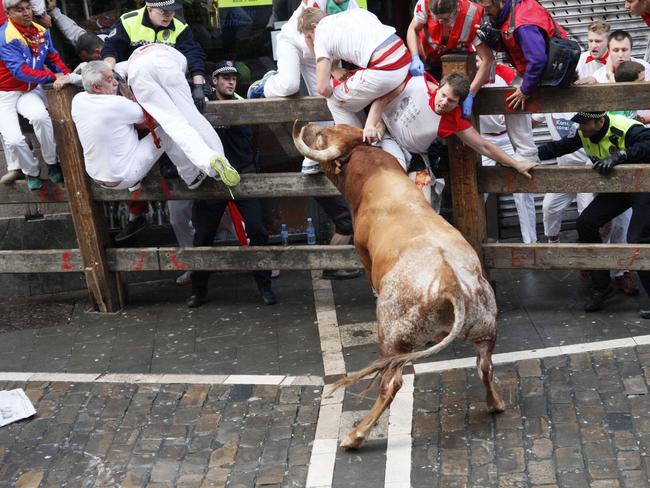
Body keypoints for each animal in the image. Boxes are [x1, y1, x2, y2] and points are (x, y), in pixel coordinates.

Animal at [292, 122, 504, 450]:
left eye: (323, 136)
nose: (308, 125)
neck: (376, 174)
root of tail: (451, 283)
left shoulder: (362, 251)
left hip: (391, 336)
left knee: (391, 382)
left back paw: (356, 435)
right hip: (485, 328)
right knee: (485, 364)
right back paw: (495, 403)